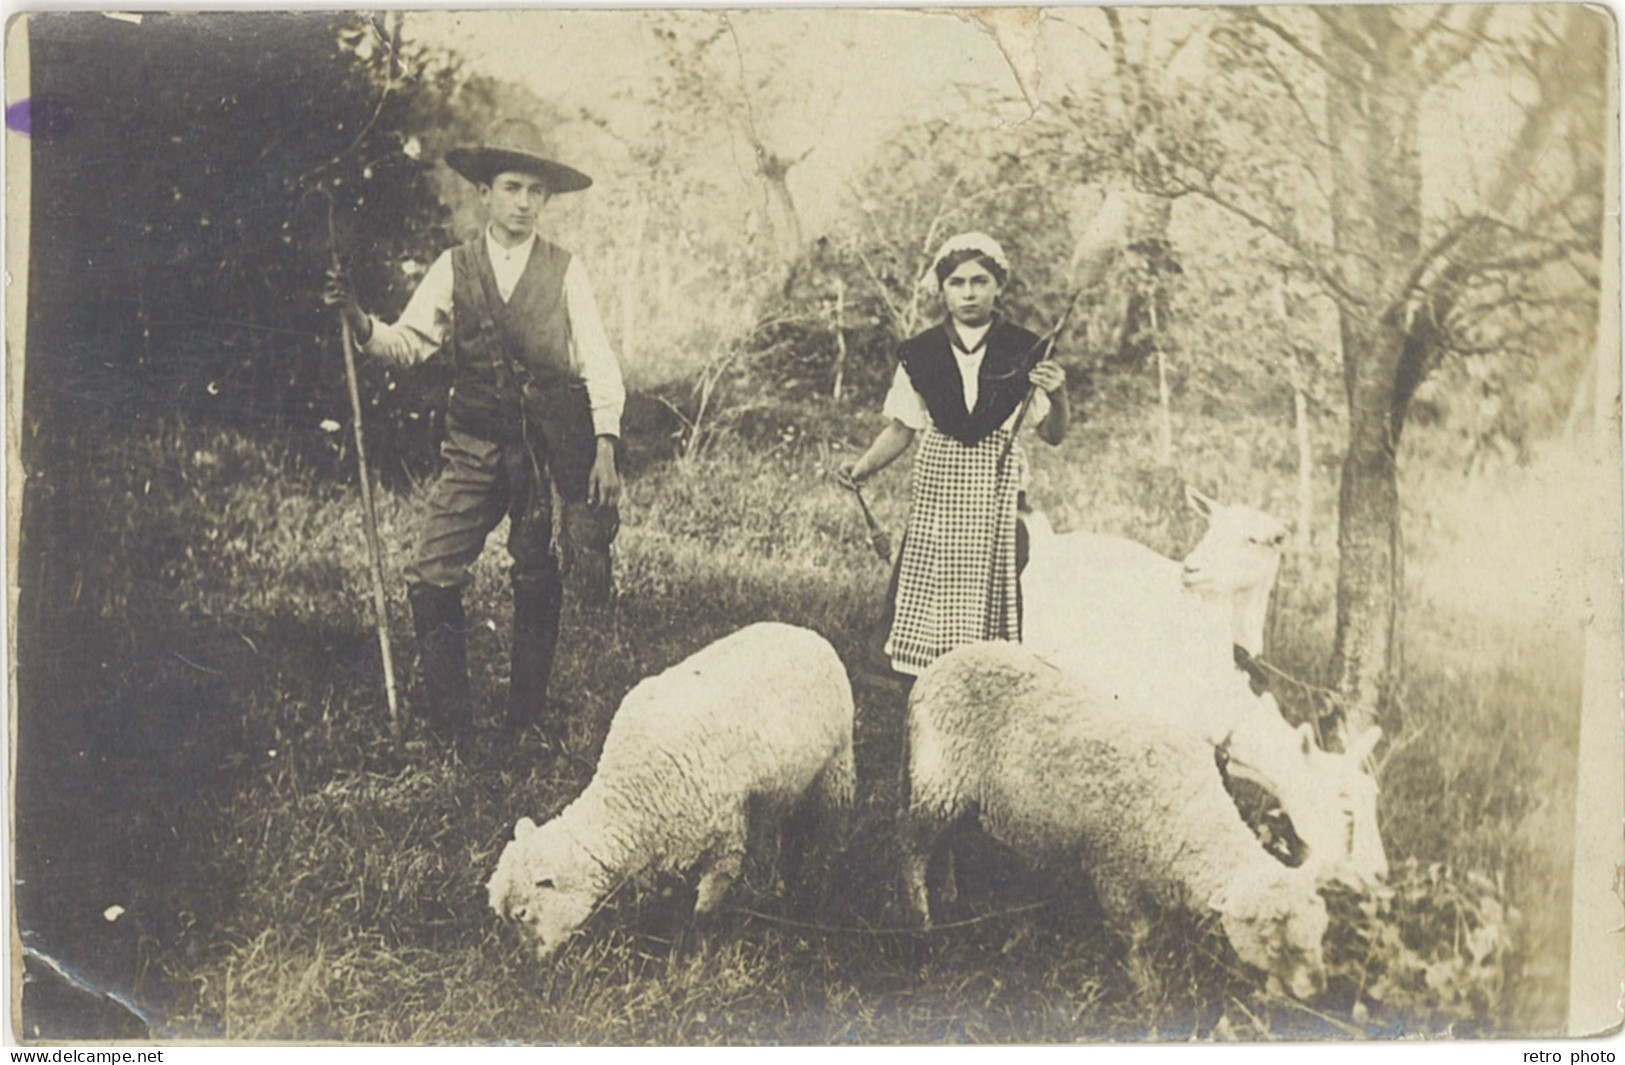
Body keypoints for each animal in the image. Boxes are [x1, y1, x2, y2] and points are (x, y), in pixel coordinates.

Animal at [484, 621, 858, 962]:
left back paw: (824, 881)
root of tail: (804, 631)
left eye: (522, 914)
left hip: (837, 763)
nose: (528, 962)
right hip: (778, 788)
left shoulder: (725, 837)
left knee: (834, 826)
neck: (630, 794)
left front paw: (696, 951)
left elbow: (707, 903)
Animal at [903, 640, 1332, 1001]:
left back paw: (949, 895)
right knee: (913, 851)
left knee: (947, 842)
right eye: (1275, 942)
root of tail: (935, 667)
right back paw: (922, 924)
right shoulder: (1113, 870)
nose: (1316, 988)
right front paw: (1147, 992)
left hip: (960, 797)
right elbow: (1137, 938)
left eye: (1318, 933)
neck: (1191, 812)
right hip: (936, 782)